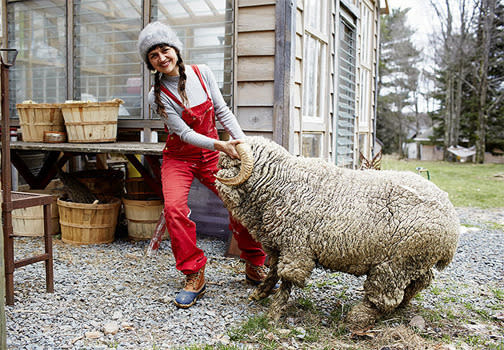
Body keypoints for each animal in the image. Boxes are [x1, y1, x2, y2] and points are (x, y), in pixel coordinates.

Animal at [215, 136, 458, 328]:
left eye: (231, 162)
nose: (216, 176)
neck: (281, 183)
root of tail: (452, 226)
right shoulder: (279, 245)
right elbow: (273, 271)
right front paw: (260, 293)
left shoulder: (297, 247)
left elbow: (286, 280)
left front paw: (274, 314)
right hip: (416, 260)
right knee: (421, 281)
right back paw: (403, 304)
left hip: (395, 263)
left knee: (385, 297)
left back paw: (359, 317)